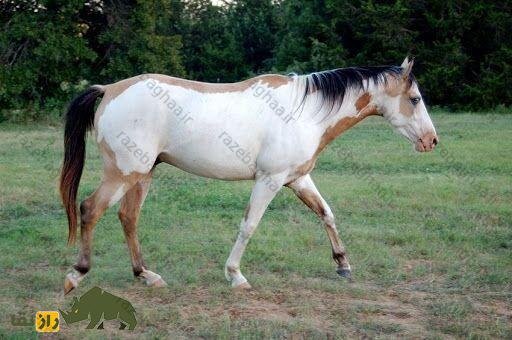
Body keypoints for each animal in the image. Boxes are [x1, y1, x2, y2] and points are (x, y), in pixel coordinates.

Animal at [59, 57, 436, 294]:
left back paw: (146, 275)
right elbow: (249, 225)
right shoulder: (270, 180)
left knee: (128, 217)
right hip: (124, 173)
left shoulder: (297, 179)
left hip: (142, 174)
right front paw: (236, 276)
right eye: (415, 99)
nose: (431, 141)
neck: (302, 111)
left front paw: (343, 265)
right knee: (90, 209)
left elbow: (326, 213)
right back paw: (76, 275)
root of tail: (109, 89)